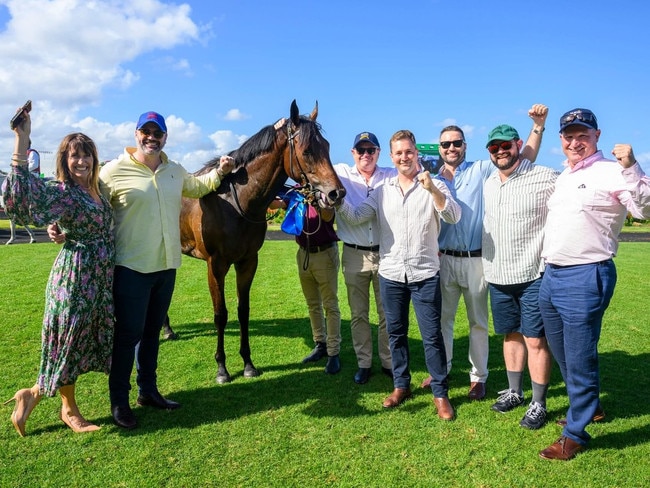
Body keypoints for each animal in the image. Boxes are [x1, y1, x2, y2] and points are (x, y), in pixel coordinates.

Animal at [172, 99, 344, 384]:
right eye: (308, 150)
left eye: (328, 147)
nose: (336, 194)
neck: (233, 202)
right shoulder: (215, 265)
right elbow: (220, 314)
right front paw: (222, 368)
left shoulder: (248, 261)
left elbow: (243, 311)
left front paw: (248, 364)